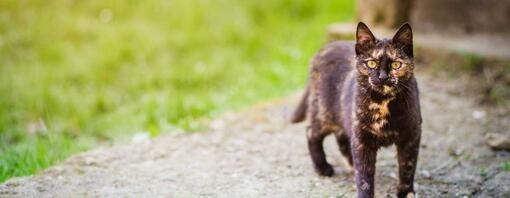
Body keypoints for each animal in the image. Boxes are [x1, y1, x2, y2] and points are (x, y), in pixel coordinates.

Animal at [290, 22, 422, 198]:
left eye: (396, 64)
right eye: (371, 63)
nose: (382, 77)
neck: (382, 103)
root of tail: (325, 48)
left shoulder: (411, 136)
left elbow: (407, 167)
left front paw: (406, 193)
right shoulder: (362, 139)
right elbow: (364, 177)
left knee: (341, 137)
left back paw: (349, 163)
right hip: (324, 112)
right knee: (311, 132)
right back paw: (322, 167)